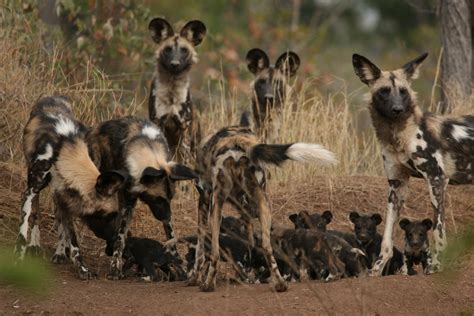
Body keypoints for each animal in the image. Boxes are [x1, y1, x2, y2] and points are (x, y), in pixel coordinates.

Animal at [16, 96, 126, 278]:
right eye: (109, 216)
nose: (114, 239)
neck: (63, 152)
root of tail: (52, 96)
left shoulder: (66, 200)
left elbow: (73, 241)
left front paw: (82, 268)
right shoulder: (30, 192)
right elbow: (24, 227)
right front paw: (19, 255)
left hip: (56, 197)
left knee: (59, 223)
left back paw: (60, 253)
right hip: (35, 187)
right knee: (36, 213)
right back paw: (35, 244)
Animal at [85, 116, 196, 278]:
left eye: (170, 198)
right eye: (158, 200)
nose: (168, 216)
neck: (148, 148)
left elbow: (171, 239)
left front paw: (179, 268)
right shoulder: (128, 204)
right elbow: (120, 239)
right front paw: (115, 268)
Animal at [147, 16, 206, 163]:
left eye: (184, 50)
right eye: (168, 49)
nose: (175, 64)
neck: (172, 92)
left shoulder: (183, 126)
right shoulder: (158, 123)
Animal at [189, 121, 336, 292]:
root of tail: (235, 141)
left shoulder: (204, 201)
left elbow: (199, 249)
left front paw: (194, 278)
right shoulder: (245, 211)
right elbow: (250, 246)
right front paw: (247, 276)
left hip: (215, 207)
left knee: (215, 252)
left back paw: (208, 284)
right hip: (263, 205)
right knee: (267, 246)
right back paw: (279, 284)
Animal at [352, 53, 474, 276]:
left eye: (403, 91)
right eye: (384, 91)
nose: (398, 109)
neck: (399, 135)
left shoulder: (437, 180)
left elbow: (438, 232)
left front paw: (436, 267)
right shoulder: (396, 185)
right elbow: (387, 236)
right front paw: (378, 269)